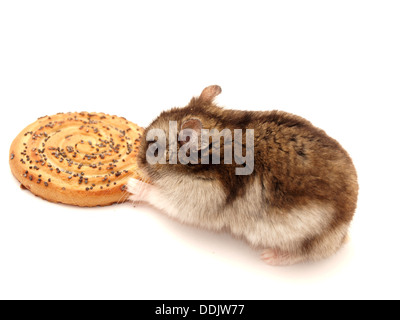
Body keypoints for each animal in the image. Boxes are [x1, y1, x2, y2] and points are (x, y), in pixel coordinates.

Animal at [129, 85, 360, 264]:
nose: (137, 162)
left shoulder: (191, 199)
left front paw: (131, 185)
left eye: (154, 151)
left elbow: (158, 196)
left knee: (303, 253)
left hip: (304, 237)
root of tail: (342, 231)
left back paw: (269, 257)